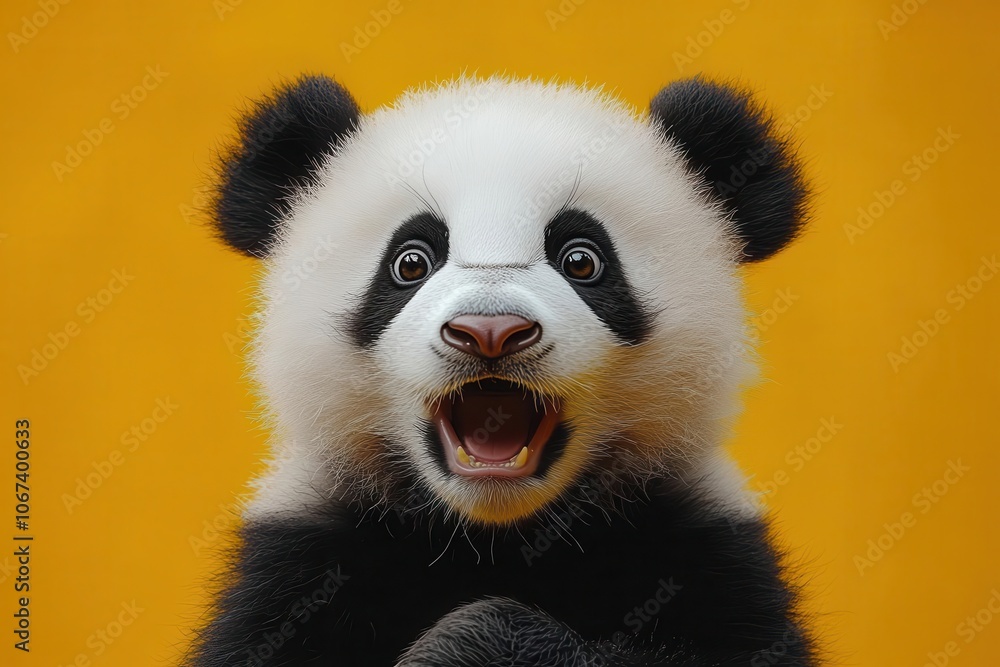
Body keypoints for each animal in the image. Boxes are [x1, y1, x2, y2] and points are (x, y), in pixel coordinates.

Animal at [187, 73, 815, 666]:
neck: (495, 537)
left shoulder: (706, 548)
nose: (490, 332)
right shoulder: (301, 560)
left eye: (582, 259)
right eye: (410, 261)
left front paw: (475, 641)